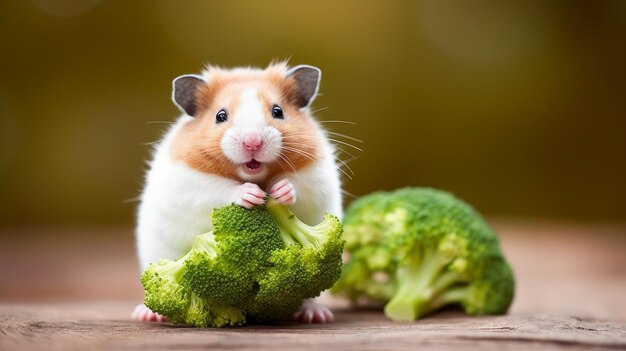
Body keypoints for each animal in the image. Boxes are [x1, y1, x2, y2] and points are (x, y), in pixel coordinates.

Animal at [132, 62, 344, 324]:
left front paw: (281, 191)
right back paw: (147, 315)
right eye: (220, 116)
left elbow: (298, 188)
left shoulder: (315, 177)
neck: (254, 175)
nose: (252, 142)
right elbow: (220, 189)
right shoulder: (190, 185)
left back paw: (316, 315)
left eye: (278, 111)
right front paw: (251, 195)